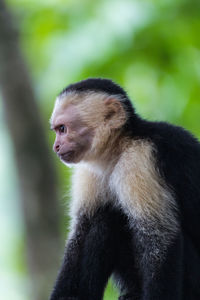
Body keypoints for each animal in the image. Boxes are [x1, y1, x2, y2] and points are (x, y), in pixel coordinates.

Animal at [49, 78, 200, 300]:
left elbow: (159, 237)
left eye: (62, 129)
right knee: (103, 219)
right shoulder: (89, 170)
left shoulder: (140, 159)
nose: (56, 147)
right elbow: (82, 230)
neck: (120, 147)